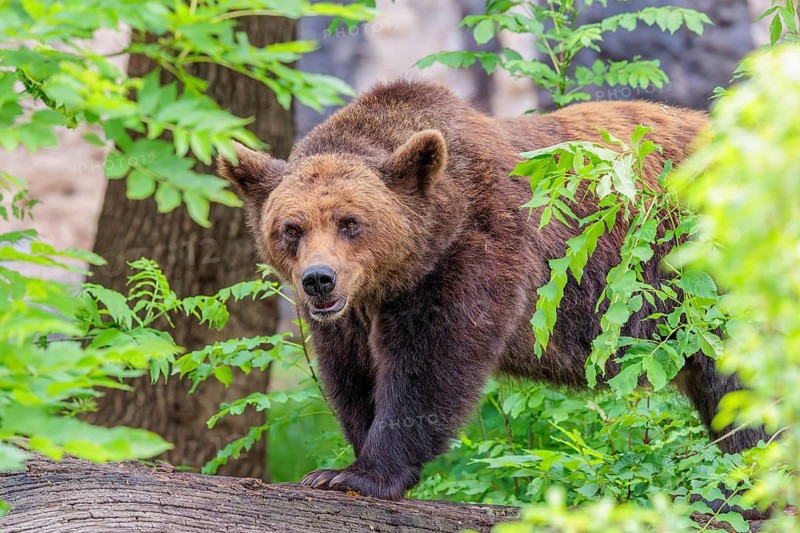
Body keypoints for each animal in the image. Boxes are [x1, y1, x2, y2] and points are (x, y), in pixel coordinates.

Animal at [218, 79, 766, 501]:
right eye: (291, 228)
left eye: (350, 222)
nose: (319, 279)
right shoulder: (354, 311)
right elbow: (350, 372)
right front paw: (339, 463)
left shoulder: (476, 251)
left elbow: (433, 362)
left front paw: (362, 474)